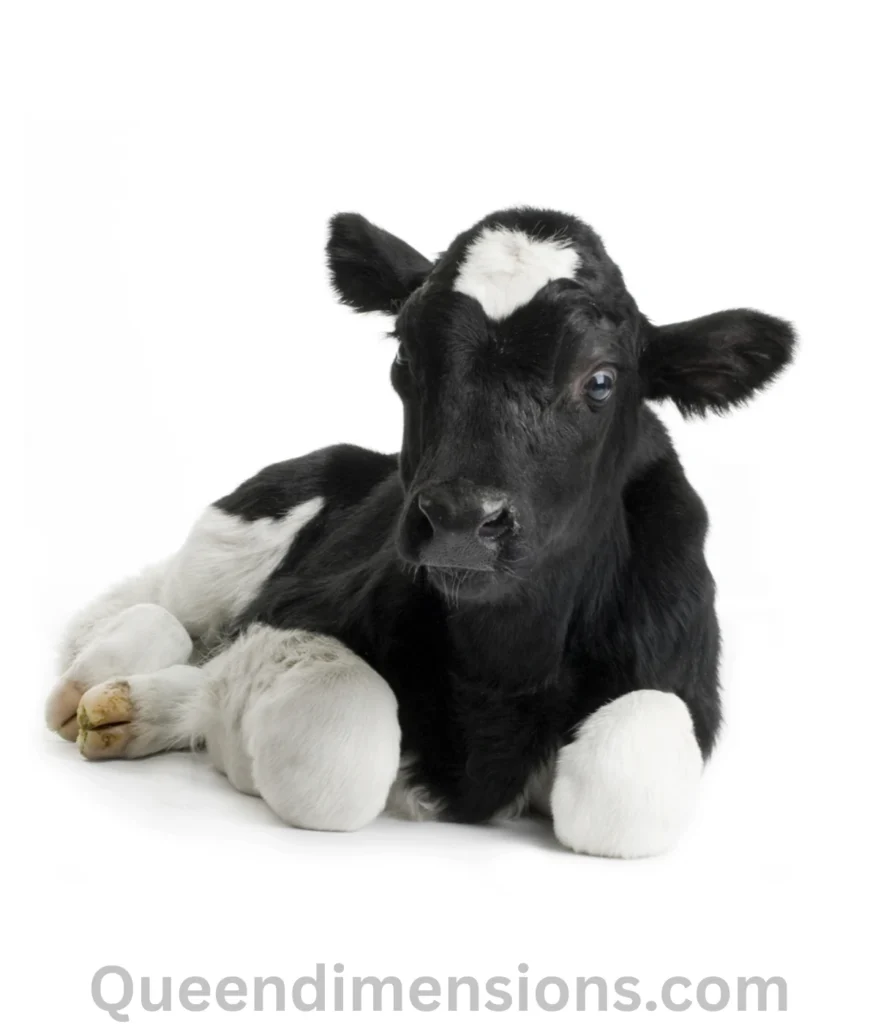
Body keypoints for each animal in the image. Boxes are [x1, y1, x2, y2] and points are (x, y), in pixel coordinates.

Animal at [45, 208, 795, 858]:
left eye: (603, 379)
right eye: (405, 354)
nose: (461, 519)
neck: (503, 663)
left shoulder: (683, 678)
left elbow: (624, 787)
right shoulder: (293, 610)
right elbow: (339, 749)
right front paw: (212, 723)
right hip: (229, 540)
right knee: (160, 611)